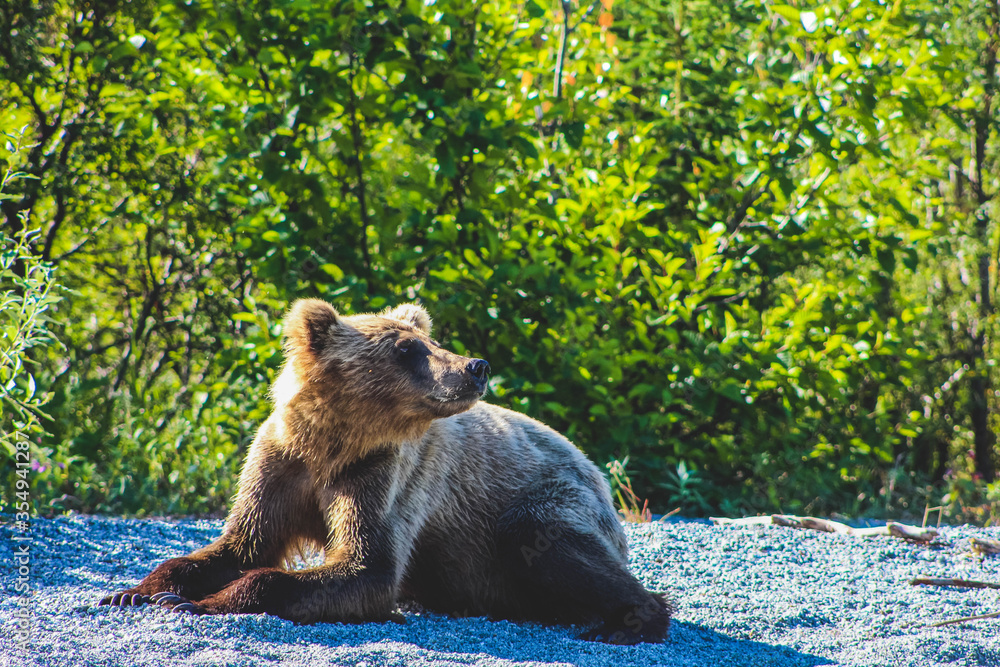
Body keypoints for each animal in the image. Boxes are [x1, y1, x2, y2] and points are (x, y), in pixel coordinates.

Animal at [101, 298, 672, 644]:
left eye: (431, 342)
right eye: (408, 348)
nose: (476, 366)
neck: (332, 443)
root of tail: (596, 473)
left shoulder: (383, 475)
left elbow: (365, 566)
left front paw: (195, 603)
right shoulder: (281, 465)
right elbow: (238, 544)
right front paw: (138, 590)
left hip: (552, 498)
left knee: (540, 537)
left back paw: (624, 622)